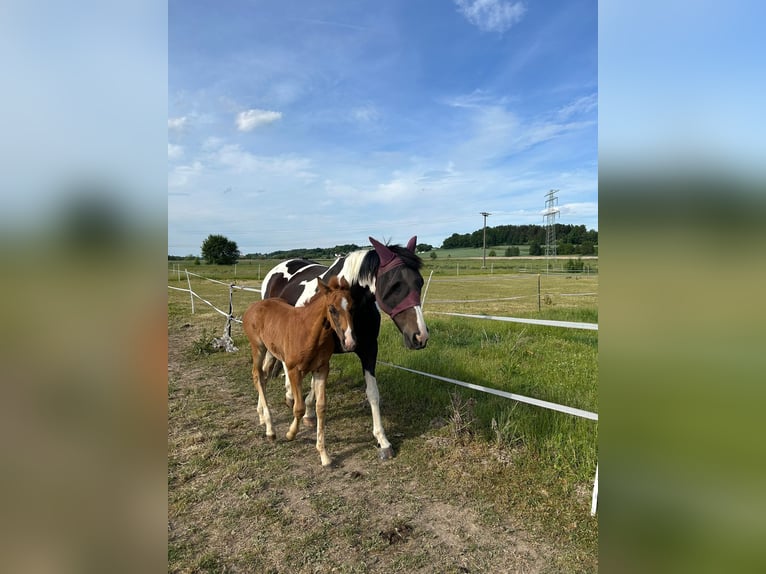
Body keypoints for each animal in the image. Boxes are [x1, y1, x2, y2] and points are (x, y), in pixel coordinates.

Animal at [242, 276, 356, 467]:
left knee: (263, 376)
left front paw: (324, 454)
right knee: (257, 375)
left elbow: (320, 407)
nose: (350, 342)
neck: (309, 333)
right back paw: (270, 430)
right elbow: (299, 408)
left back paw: (262, 416)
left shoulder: (322, 369)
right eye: (332, 309)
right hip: (257, 347)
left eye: (352, 307)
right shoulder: (294, 370)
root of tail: (254, 306)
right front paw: (290, 434)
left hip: (270, 351)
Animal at [261, 235, 429, 460]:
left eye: (420, 283)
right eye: (395, 285)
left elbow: (372, 393)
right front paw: (307, 412)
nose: (420, 336)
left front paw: (382, 440)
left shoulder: (368, 350)